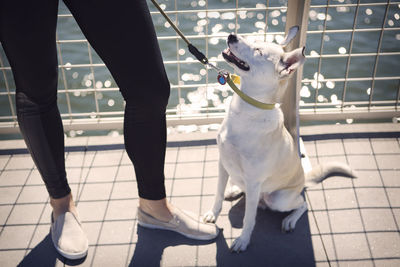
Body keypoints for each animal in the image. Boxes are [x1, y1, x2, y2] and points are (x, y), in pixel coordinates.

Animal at [205, 26, 354, 253]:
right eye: (253, 40)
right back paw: (235, 189)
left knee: (302, 204)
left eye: (258, 51)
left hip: (279, 199)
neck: (246, 110)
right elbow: (217, 194)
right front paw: (213, 213)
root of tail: (303, 180)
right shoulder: (223, 163)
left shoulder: (254, 181)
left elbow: (249, 219)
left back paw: (290, 220)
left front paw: (243, 241)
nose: (232, 35)